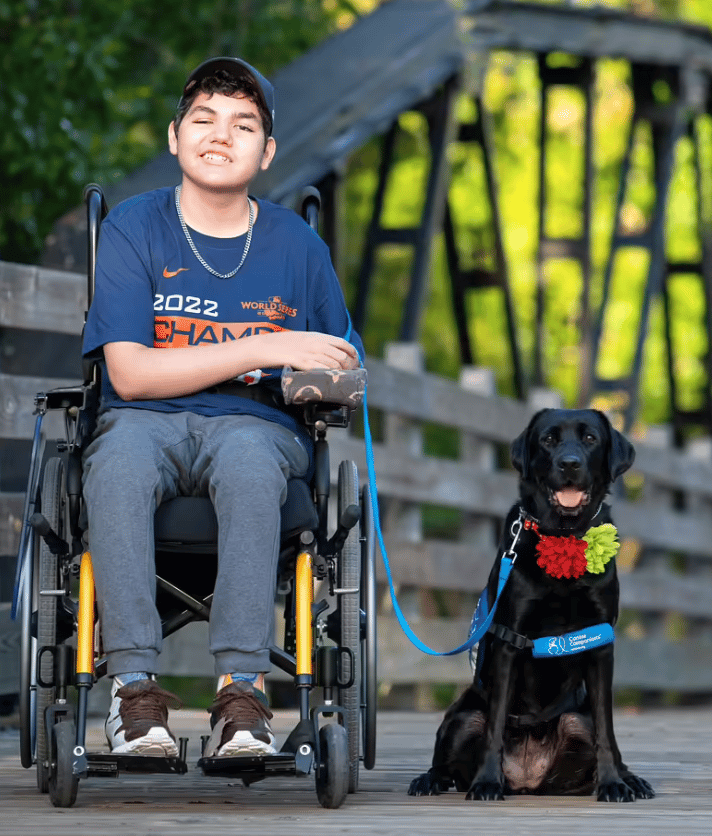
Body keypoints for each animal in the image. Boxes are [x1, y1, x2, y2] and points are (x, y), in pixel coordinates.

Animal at [408, 412, 652, 804]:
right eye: (548, 440)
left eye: (590, 438)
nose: (569, 464)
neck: (565, 537)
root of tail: (527, 778)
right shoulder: (510, 640)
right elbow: (494, 728)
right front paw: (486, 783)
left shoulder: (601, 643)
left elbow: (607, 729)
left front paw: (614, 783)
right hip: (462, 718)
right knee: (451, 756)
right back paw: (430, 780)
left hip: (575, 720)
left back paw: (629, 779)